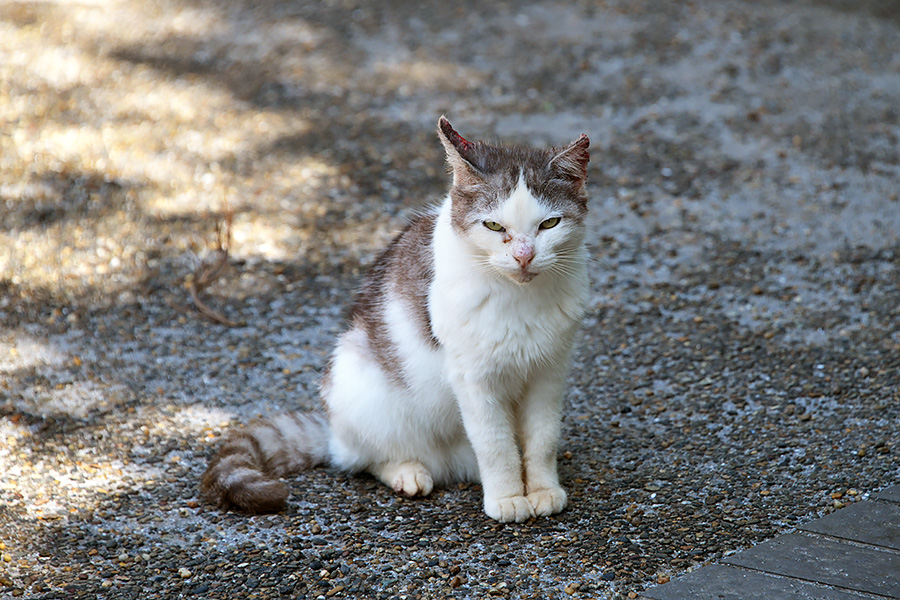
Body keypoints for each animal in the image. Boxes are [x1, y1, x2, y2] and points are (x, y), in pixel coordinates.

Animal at [201, 116, 592, 520]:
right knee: (362, 458)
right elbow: (495, 444)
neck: (519, 298)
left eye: (549, 224)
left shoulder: (549, 372)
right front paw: (508, 497)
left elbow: (543, 437)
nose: (524, 256)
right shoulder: (474, 379)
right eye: (495, 227)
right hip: (359, 386)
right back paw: (407, 472)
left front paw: (543, 490)